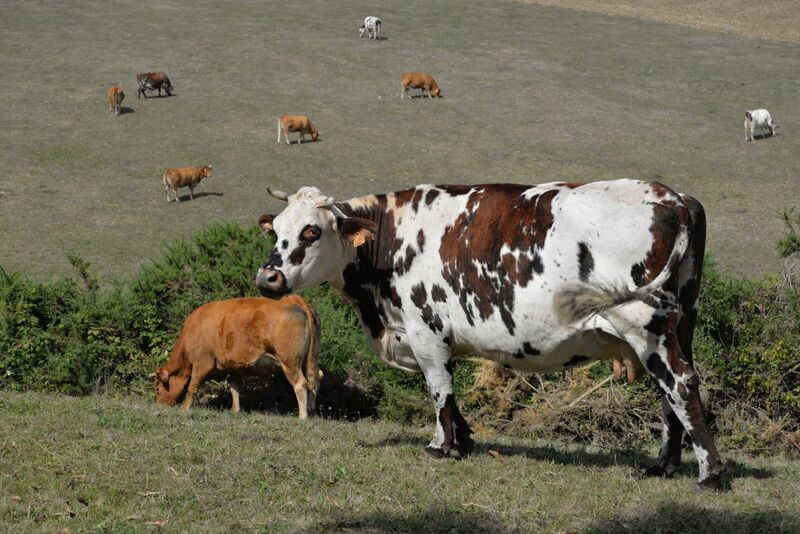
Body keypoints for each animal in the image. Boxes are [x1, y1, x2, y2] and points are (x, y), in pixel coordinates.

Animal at [152, 298, 324, 418]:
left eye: (157, 388)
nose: (158, 406)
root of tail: (293, 300)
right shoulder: (233, 367)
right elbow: (234, 388)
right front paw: (235, 410)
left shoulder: (202, 363)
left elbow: (192, 387)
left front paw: (184, 408)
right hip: (311, 358)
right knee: (316, 378)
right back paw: (312, 411)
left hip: (290, 362)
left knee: (301, 383)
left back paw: (302, 416)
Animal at [253, 182, 728, 492]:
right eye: (275, 229)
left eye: (312, 231)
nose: (268, 277)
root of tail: (672, 197)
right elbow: (450, 393)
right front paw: (463, 441)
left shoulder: (425, 330)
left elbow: (439, 388)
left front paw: (440, 446)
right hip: (679, 323)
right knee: (672, 393)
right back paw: (663, 467)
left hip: (645, 324)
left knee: (681, 385)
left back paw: (710, 475)